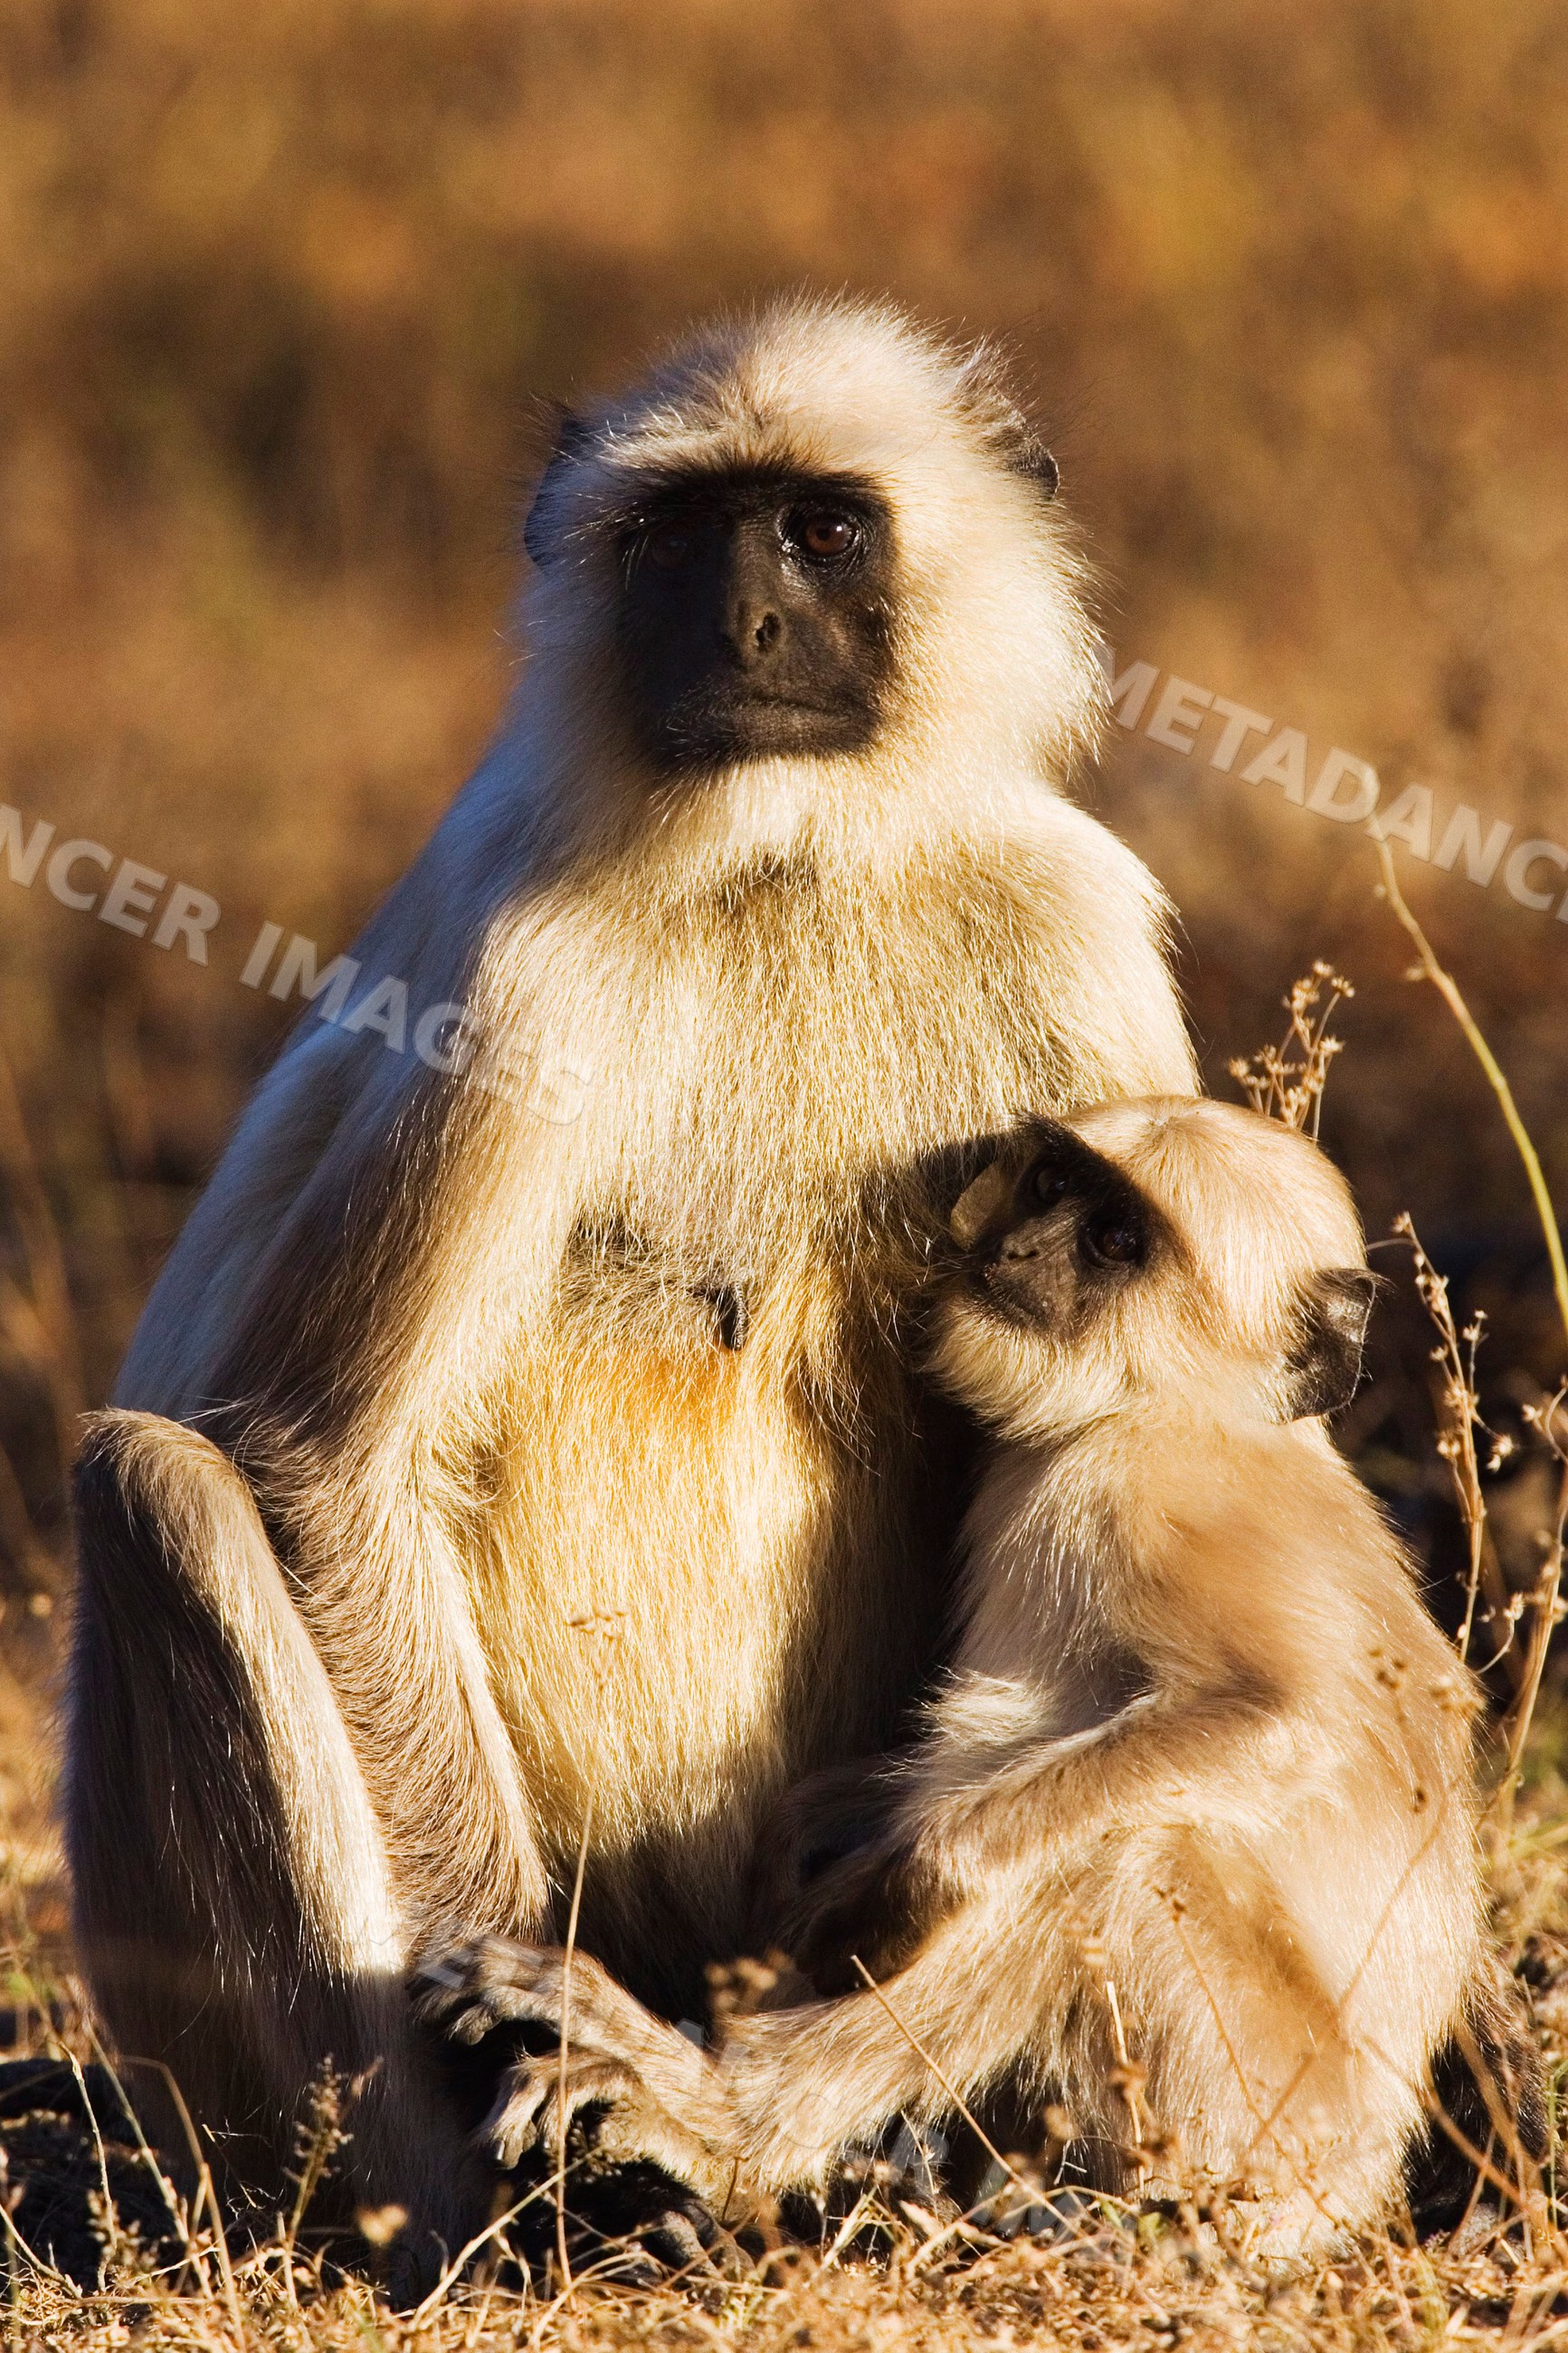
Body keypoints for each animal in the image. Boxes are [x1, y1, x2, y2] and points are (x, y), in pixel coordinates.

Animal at [65, 294, 1199, 2278]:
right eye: (675, 540)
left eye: (816, 530)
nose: (741, 628)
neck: (790, 856)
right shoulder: (522, 969)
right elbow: (319, 1457)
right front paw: (552, 2073)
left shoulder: (1074, 928)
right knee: (158, 1489)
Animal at [413, 1098, 1504, 2257]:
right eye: (1048, 1187)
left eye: (1113, 1240)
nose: (1012, 1248)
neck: (1170, 1410)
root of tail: (1365, 2177)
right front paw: (808, 1844)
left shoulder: (1149, 1499)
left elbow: (1294, 1712)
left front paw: (899, 1879)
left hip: (1260, 2123)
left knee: (1116, 1862)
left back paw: (719, 2120)